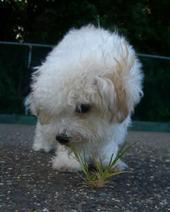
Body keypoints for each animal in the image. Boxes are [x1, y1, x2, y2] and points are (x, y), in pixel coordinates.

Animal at [28, 24, 143, 171]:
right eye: (56, 110)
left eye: (83, 107)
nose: (61, 138)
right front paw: (69, 161)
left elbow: (107, 142)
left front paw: (108, 161)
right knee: (42, 128)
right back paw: (42, 145)